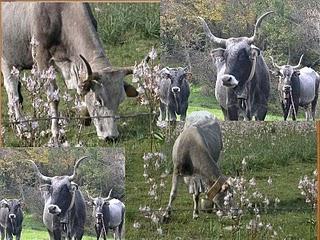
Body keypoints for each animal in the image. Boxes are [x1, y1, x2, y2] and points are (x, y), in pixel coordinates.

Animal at [2, 2, 138, 143]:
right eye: (99, 100)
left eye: (120, 100)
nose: (111, 137)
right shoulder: (42, 59)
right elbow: (54, 98)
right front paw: (56, 133)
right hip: (7, 61)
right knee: (13, 93)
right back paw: (22, 127)